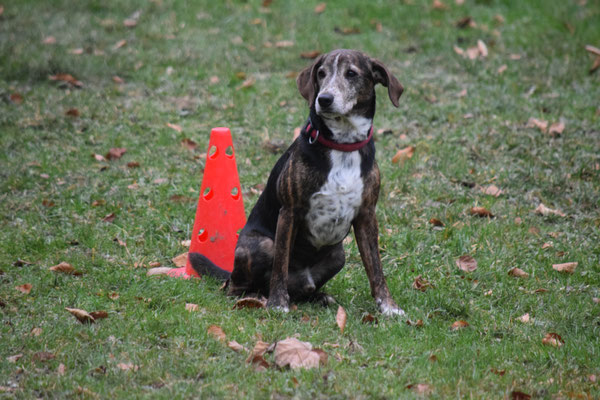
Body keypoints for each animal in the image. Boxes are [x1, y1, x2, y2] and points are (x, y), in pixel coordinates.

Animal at [191, 48, 408, 314]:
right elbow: (280, 264)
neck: (342, 144)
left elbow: (376, 267)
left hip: (338, 255)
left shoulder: (367, 215)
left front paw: (388, 306)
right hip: (260, 245)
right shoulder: (290, 212)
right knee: (237, 286)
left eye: (351, 73)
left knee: (306, 289)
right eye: (321, 73)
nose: (324, 99)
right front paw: (277, 303)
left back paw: (319, 296)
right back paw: (256, 296)